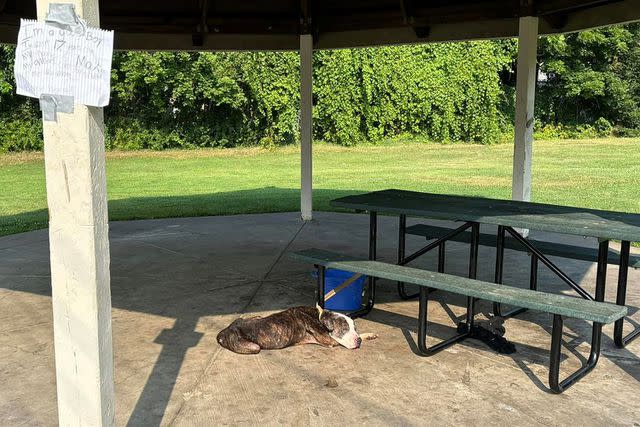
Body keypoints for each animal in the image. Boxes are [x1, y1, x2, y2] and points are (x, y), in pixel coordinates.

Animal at [218, 306, 376, 356]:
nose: (358, 341)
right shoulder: (329, 340)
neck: (319, 316)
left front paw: (368, 335)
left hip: (255, 316)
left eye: (355, 328)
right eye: (344, 329)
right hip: (254, 347)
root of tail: (222, 333)